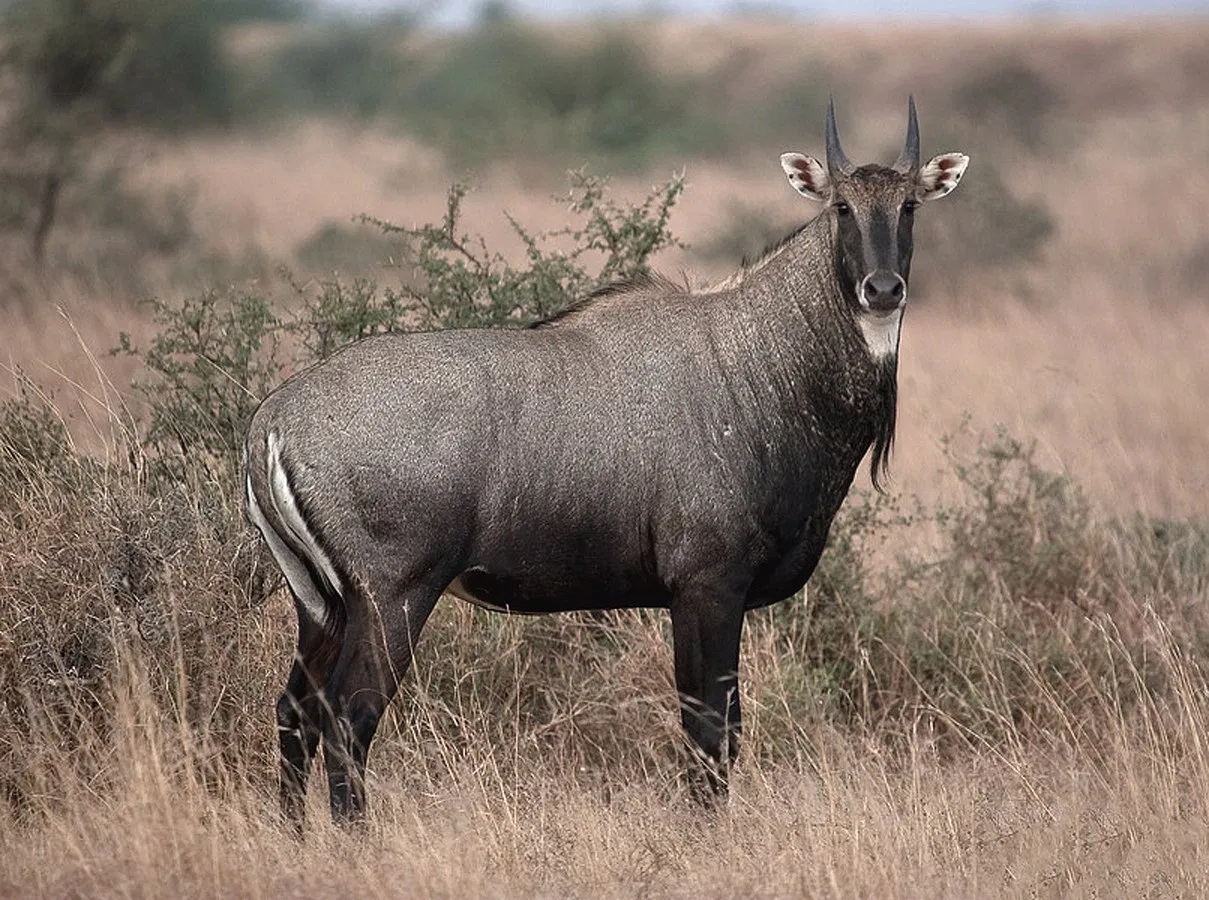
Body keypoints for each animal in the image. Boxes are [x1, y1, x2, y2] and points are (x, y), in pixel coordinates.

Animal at [243, 96, 962, 822]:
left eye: (909, 205)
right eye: (841, 206)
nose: (881, 289)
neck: (754, 358)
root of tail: (272, 420)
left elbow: (721, 731)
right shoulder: (706, 587)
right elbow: (710, 730)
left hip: (322, 605)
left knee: (295, 712)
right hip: (392, 598)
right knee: (347, 717)